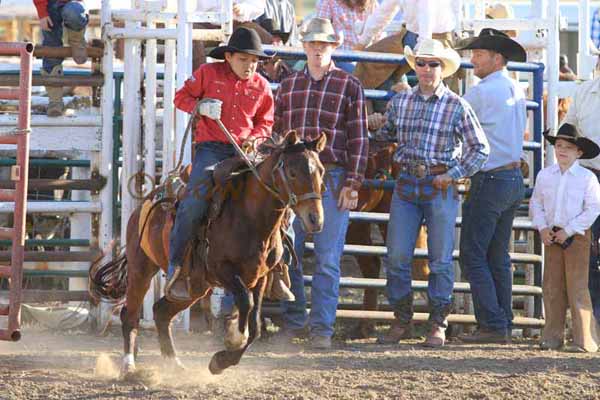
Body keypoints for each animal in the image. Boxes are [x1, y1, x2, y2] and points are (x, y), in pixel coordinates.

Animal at [88, 131, 328, 376]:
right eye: (292, 172)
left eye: (321, 171)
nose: (315, 219)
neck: (249, 217)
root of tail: (143, 205)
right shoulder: (223, 270)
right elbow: (246, 303)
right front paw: (233, 339)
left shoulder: (261, 278)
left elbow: (256, 327)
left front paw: (220, 361)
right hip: (141, 270)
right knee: (130, 314)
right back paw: (129, 366)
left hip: (195, 287)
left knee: (160, 312)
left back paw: (174, 363)